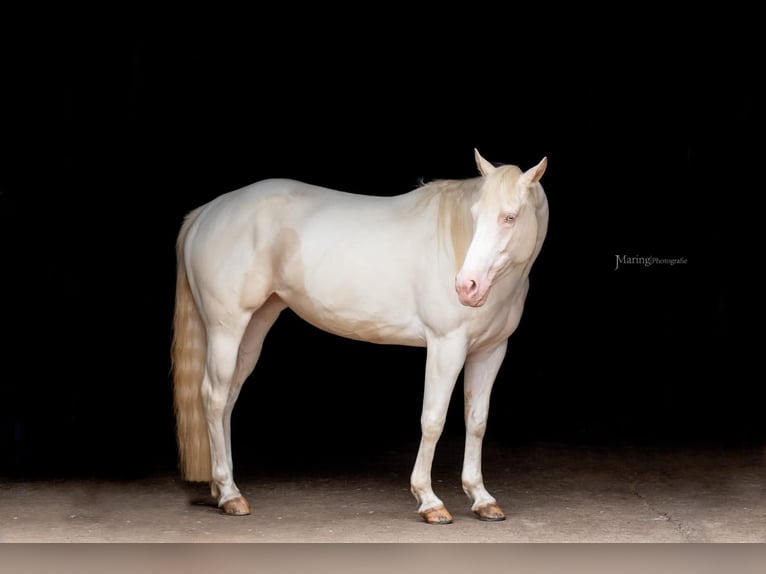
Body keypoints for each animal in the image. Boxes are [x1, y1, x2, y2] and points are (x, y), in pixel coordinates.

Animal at [171, 150, 548, 528]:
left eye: (510, 217)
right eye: (474, 215)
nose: (467, 287)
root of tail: (208, 211)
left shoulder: (490, 351)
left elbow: (477, 421)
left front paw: (481, 498)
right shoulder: (446, 345)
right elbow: (433, 420)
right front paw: (429, 501)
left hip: (254, 327)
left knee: (229, 399)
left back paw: (225, 489)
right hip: (226, 328)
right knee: (214, 398)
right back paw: (229, 494)